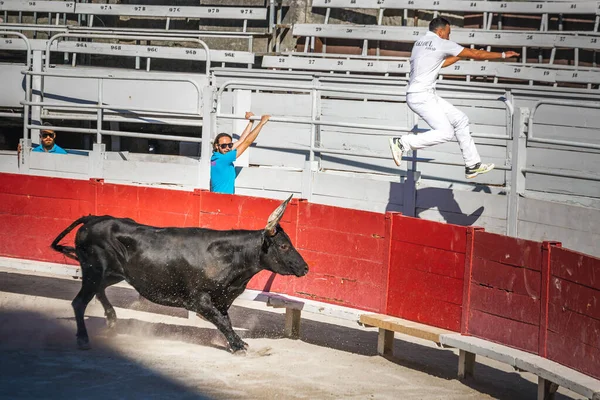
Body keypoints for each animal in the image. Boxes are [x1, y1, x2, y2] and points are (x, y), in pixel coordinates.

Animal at [50, 195, 310, 352]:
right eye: (284, 246)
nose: (305, 268)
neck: (229, 256)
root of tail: (93, 218)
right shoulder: (199, 299)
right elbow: (222, 321)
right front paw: (238, 346)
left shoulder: (222, 298)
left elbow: (225, 320)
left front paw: (236, 343)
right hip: (94, 269)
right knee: (79, 301)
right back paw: (84, 339)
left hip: (113, 273)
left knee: (99, 290)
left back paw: (112, 319)